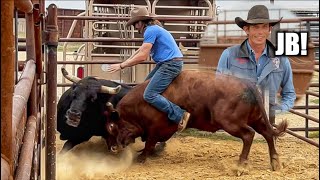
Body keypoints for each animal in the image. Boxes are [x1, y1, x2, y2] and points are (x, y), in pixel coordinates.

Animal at [105, 69, 288, 171]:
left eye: (112, 126)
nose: (113, 148)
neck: (141, 103)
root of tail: (247, 84)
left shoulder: (156, 128)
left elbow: (150, 143)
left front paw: (142, 158)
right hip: (257, 119)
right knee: (268, 134)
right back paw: (275, 162)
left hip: (231, 122)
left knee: (249, 135)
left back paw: (241, 166)